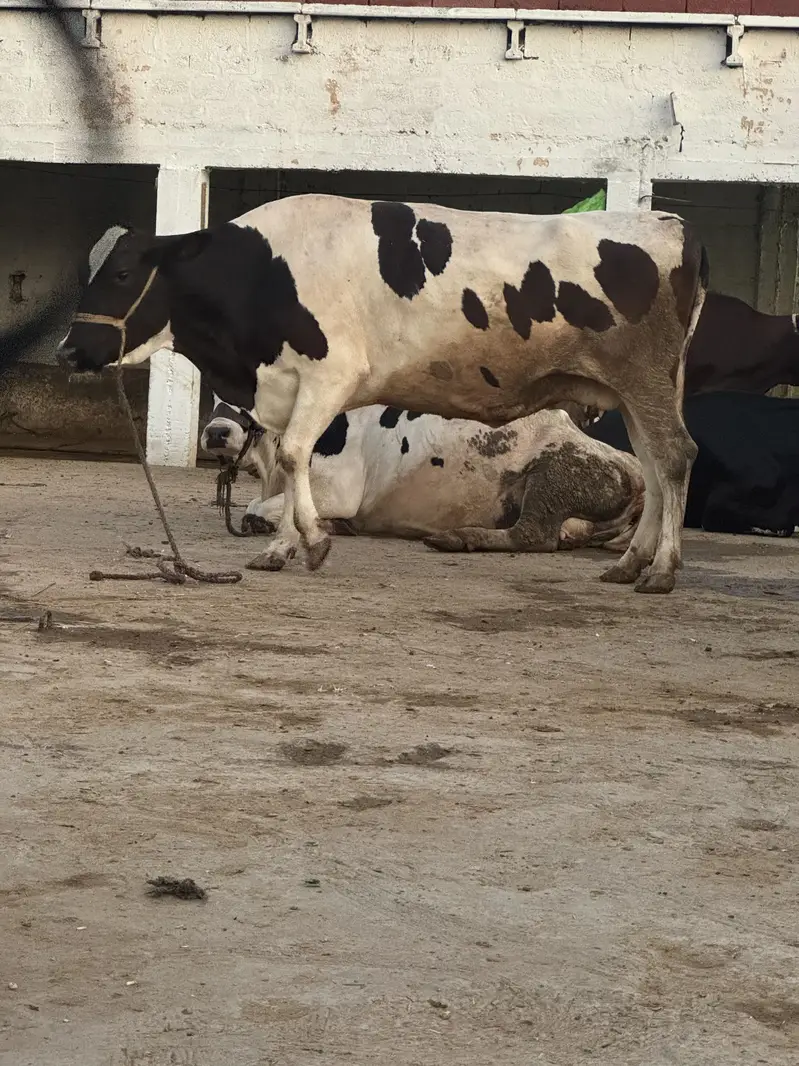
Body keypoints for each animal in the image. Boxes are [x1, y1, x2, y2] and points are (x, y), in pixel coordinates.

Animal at [199, 398, 645, 559]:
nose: (217, 432)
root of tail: (634, 470)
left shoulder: (337, 487)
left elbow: (258, 508)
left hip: (552, 473)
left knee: (534, 535)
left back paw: (458, 537)